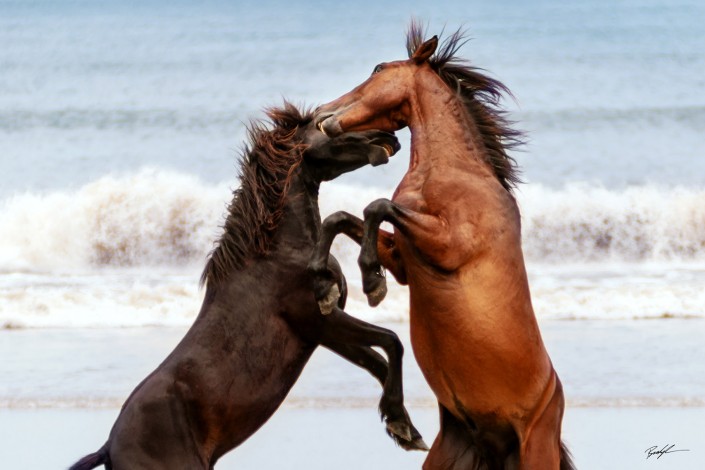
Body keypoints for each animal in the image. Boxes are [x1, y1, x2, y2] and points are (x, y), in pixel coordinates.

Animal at [69, 103, 424, 470]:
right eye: (323, 126)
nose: (389, 139)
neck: (278, 254)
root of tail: (109, 447)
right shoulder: (319, 321)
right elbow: (392, 342)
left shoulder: (322, 333)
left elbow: (378, 361)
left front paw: (403, 428)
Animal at [310, 26, 576, 470]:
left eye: (378, 69)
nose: (320, 113)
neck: (451, 173)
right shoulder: (406, 259)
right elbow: (341, 218)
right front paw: (324, 285)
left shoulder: (448, 247)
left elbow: (375, 207)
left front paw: (371, 284)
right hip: (448, 451)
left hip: (535, 453)